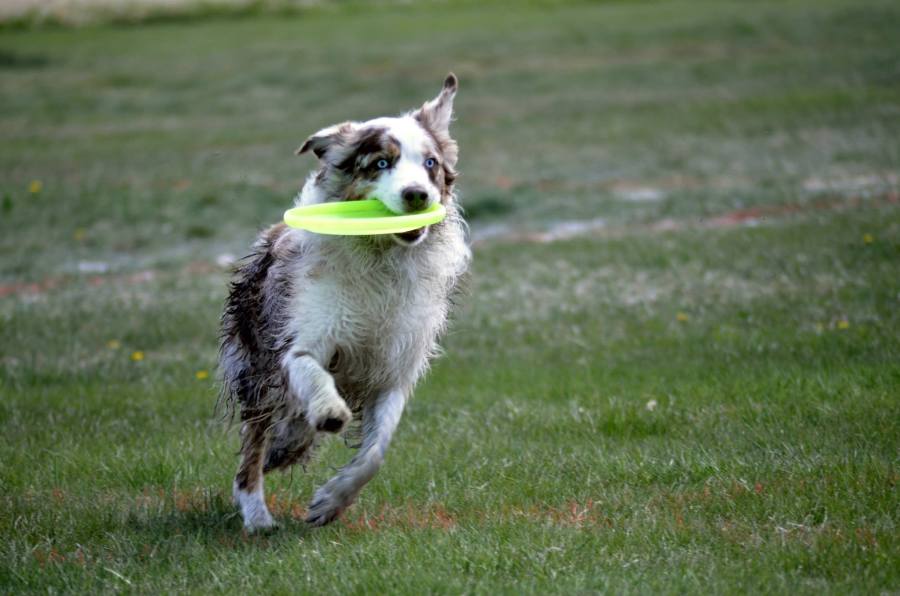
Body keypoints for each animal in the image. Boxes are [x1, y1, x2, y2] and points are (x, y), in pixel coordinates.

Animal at [219, 74, 470, 530]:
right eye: (381, 164)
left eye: (430, 163)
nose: (416, 195)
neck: (380, 256)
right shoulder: (298, 342)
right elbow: (313, 375)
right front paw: (331, 410)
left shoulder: (394, 369)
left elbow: (376, 451)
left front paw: (332, 501)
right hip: (256, 369)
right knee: (253, 449)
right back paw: (257, 515)